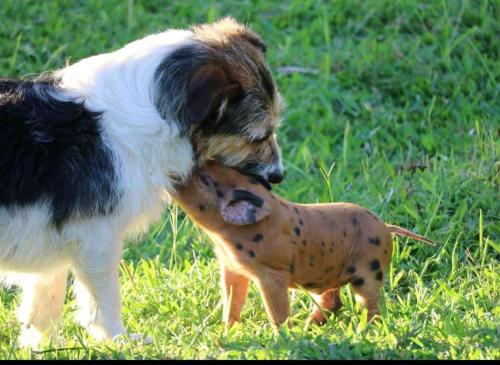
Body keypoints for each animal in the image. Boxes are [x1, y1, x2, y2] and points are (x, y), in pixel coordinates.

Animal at [0, 17, 286, 346]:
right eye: (258, 136)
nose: (279, 176)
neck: (153, 112)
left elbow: (44, 298)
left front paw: (39, 345)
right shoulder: (97, 238)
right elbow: (104, 299)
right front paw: (117, 339)